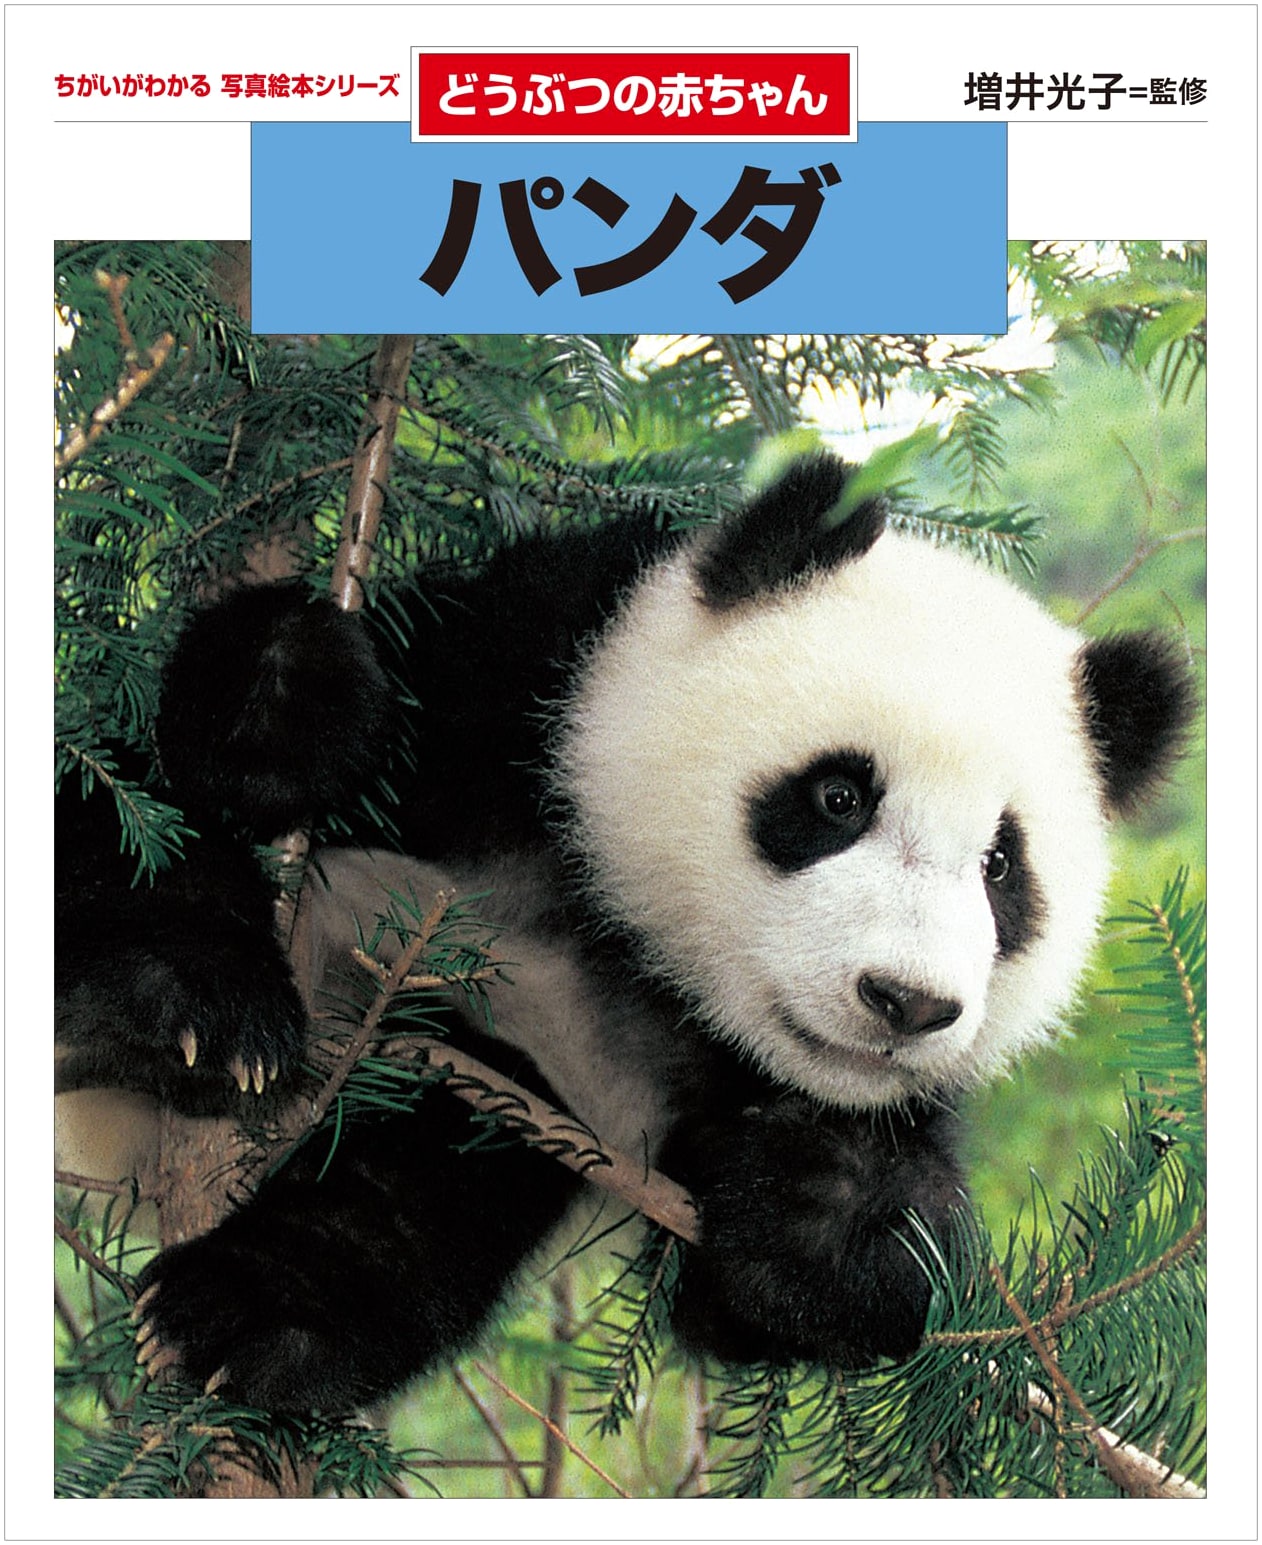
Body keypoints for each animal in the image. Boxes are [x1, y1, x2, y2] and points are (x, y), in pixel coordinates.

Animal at [54, 453, 1195, 1415]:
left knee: (438, 1155)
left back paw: (257, 1315)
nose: (905, 1003)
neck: (620, 930)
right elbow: (164, 768)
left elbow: (776, 1294)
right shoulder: (530, 672)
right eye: (836, 796)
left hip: (495, 1077)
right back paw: (181, 1017)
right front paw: (293, 698)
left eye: (1001, 869)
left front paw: (824, 1206)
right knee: (134, 827)